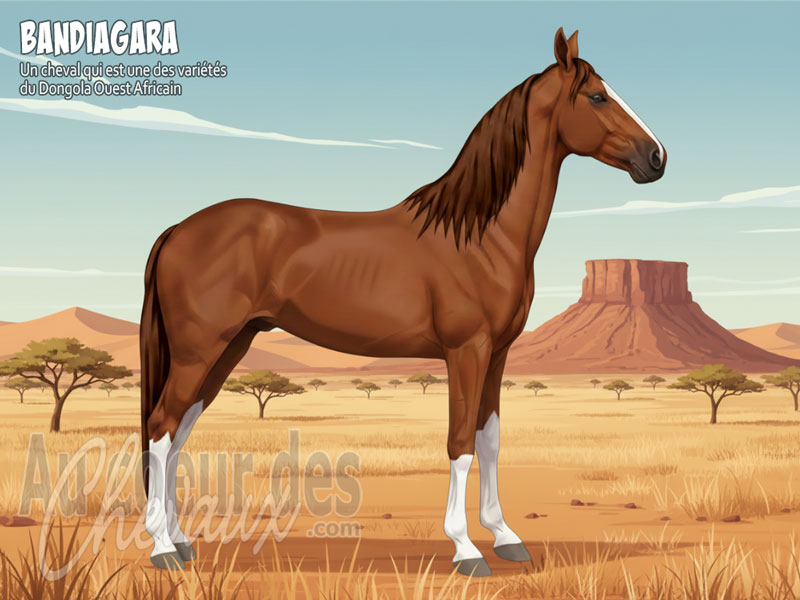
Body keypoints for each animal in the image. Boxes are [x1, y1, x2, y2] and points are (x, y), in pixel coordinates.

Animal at [140, 27, 666, 576]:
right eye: (597, 96)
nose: (657, 158)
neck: (479, 235)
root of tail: (178, 230)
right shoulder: (467, 351)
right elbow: (460, 444)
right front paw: (466, 549)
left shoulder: (498, 354)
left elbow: (490, 441)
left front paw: (505, 536)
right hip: (200, 350)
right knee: (160, 428)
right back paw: (162, 548)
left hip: (229, 347)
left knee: (177, 434)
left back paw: (182, 541)